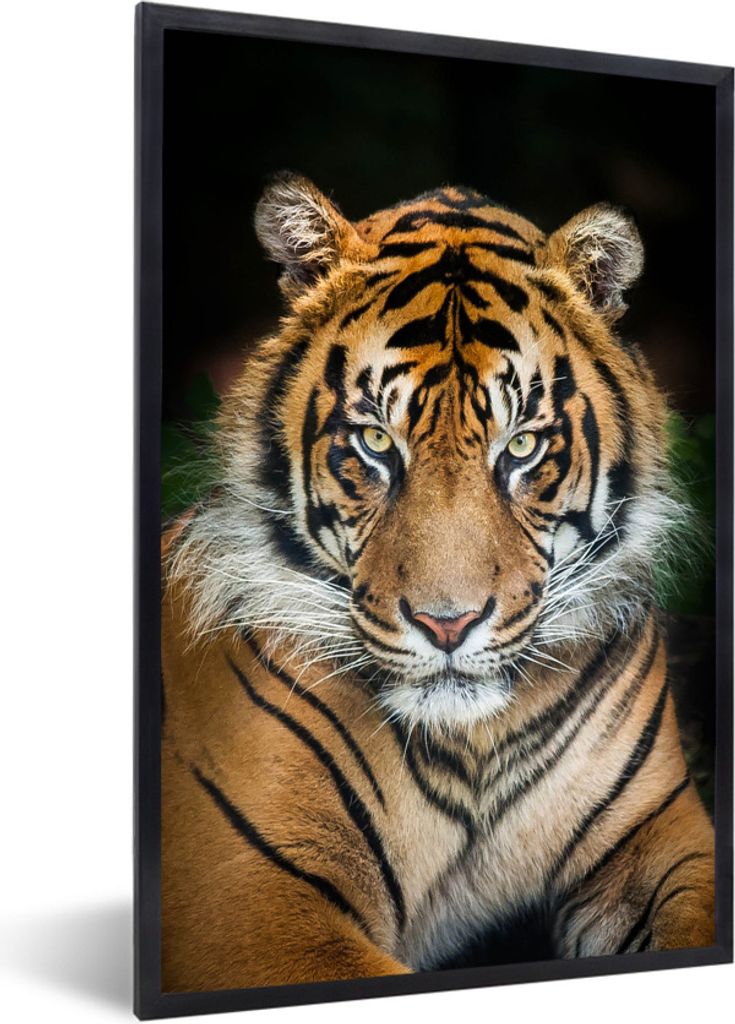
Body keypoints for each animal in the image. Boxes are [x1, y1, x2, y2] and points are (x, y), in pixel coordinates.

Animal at [161, 174, 715, 993]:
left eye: (520, 446)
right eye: (373, 441)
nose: (447, 624)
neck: (473, 750)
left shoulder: (665, 838)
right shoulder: (252, 900)